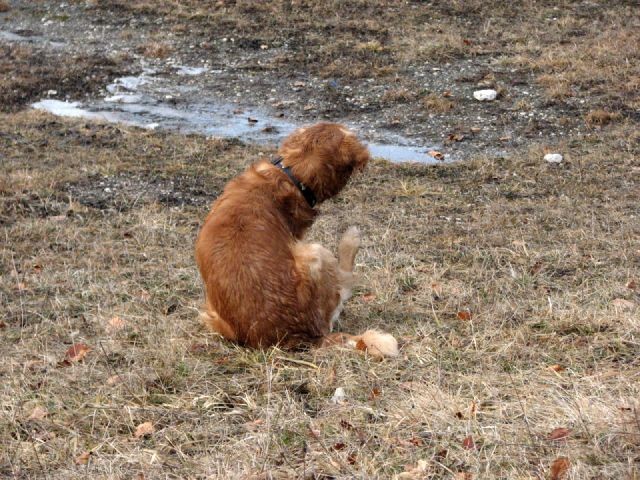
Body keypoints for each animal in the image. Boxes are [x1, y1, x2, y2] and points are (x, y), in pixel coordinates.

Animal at [192, 123, 398, 356]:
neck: (290, 175)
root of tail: (300, 337)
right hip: (315, 253)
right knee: (342, 288)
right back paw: (351, 240)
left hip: (211, 315)